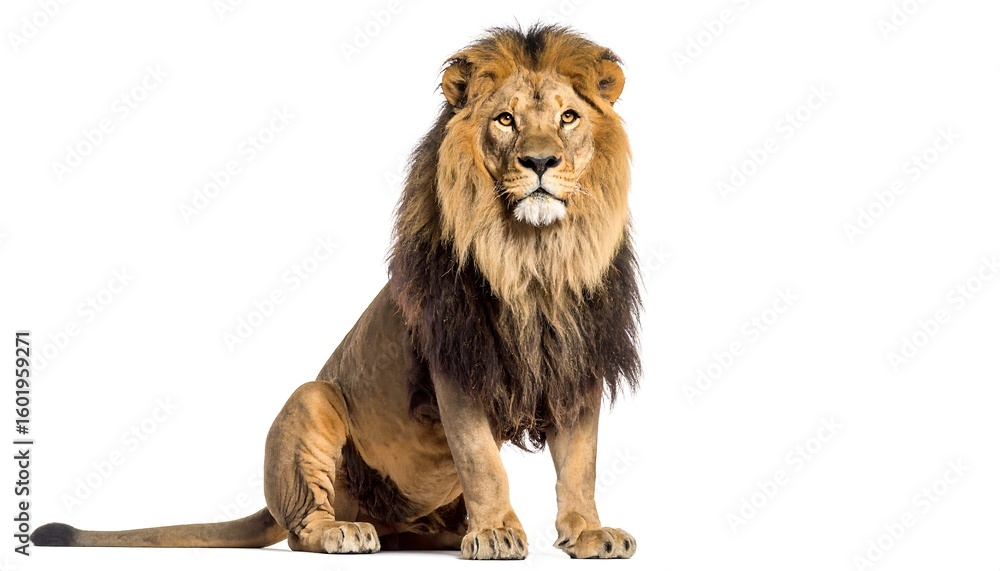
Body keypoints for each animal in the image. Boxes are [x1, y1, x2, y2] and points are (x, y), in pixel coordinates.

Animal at [31, 24, 641, 560]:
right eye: (505, 120)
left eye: (568, 117)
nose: (539, 161)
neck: (535, 258)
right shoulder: (455, 361)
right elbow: (481, 461)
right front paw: (495, 533)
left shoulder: (579, 360)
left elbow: (580, 463)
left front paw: (589, 533)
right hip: (311, 400)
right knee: (302, 527)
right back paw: (346, 532)